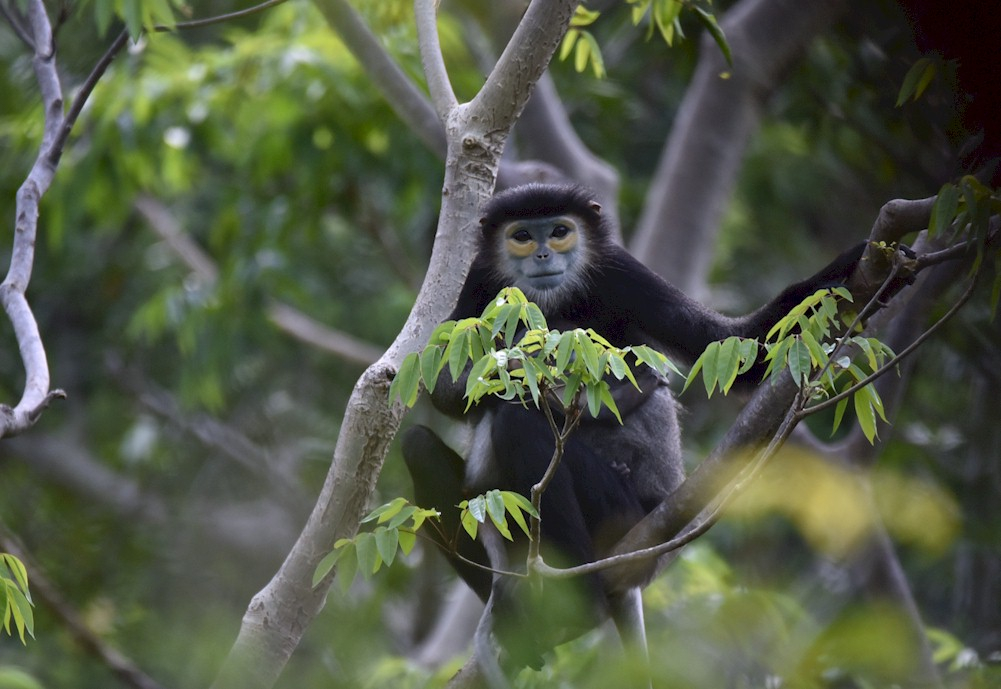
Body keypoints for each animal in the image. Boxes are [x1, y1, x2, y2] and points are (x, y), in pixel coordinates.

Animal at [402, 183, 864, 677]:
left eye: (560, 232)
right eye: (522, 236)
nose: (544, 254)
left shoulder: (621, 271)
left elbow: (734, 347)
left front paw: (851, 263)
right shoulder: (480, 279)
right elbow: (442, 386)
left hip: (623, 516)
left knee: (516, 425)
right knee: (420, 446)